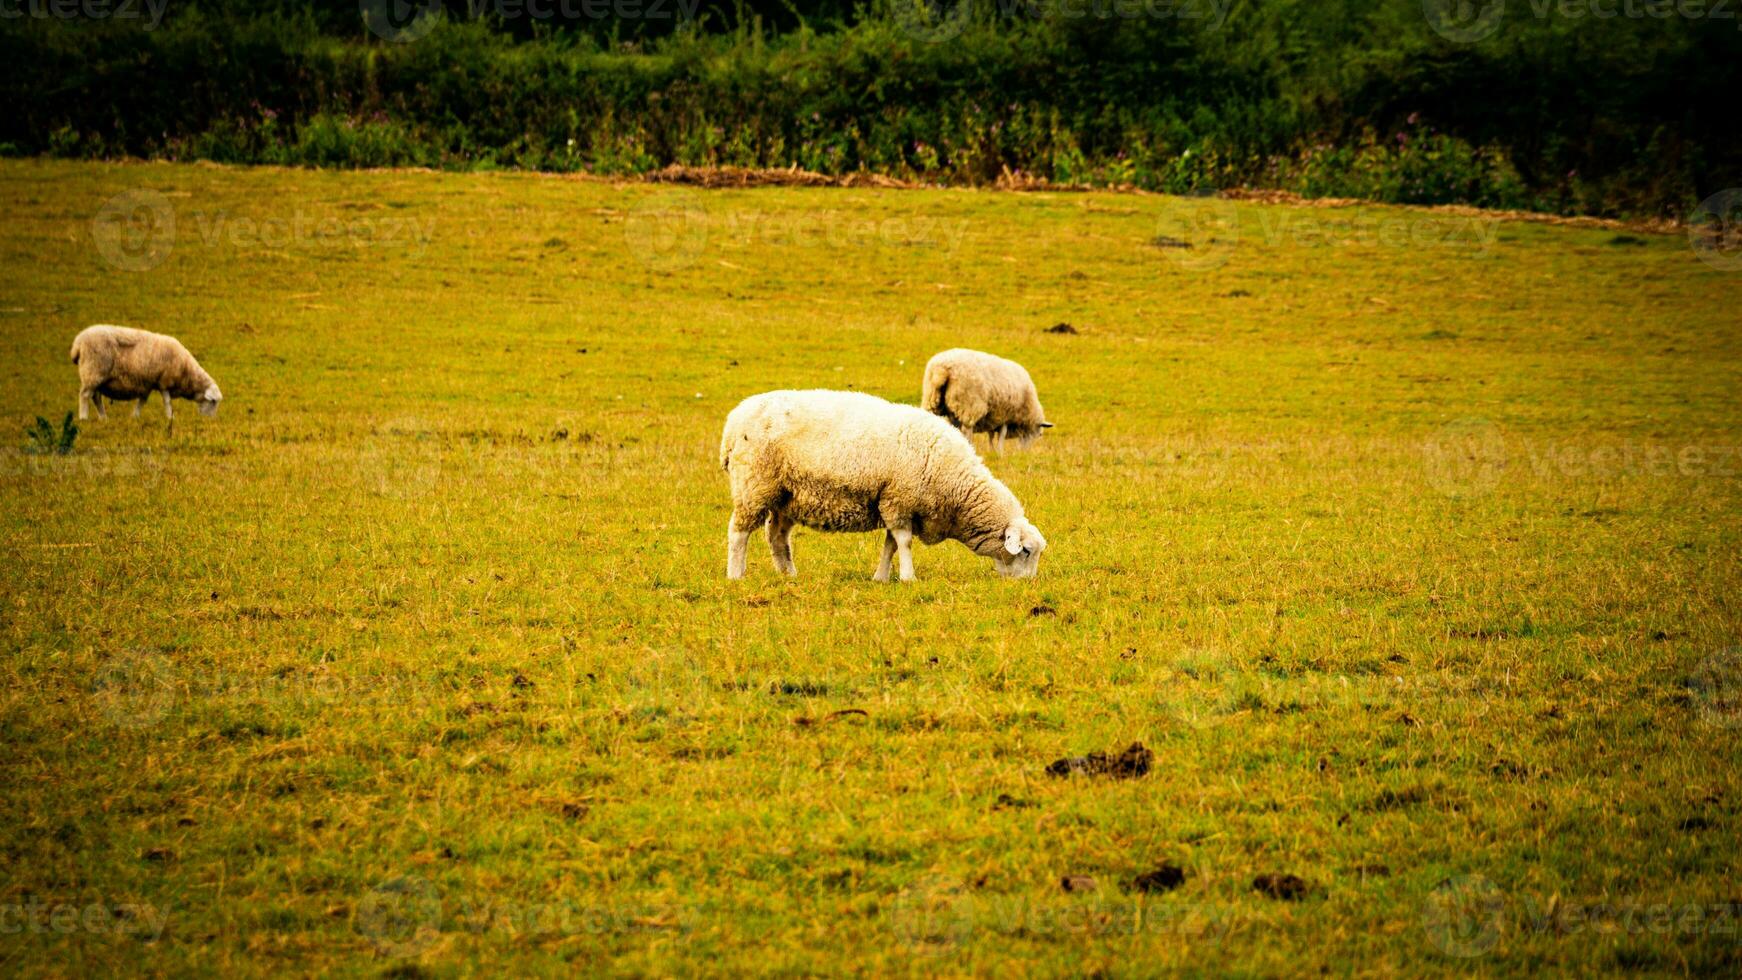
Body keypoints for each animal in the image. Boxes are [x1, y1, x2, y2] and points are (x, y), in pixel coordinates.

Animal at [70, 325, 221, 421]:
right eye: (213, 402)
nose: (211, 420)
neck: (187, 371)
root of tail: (78, 343)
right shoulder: (164, 382)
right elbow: (167, 402)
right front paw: (171, 417)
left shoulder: (148, 383)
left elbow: (142, 401)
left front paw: (135, 416)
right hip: (93, 371)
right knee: (84, 395)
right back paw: (83, 417)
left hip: (97, 377)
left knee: (96, 397)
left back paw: (103, 418)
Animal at [714, 389, 1038, 581]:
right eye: (1025, 551)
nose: (1028, 584)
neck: (955, 485)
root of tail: (733, 421)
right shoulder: (899, 500)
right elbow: (903, 543)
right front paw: (908, 578)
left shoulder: (896, 504)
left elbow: (890, 545)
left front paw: (881, 577)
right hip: (754, 485)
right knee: (738, 532)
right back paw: (735, 574)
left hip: (786, 495)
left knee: (777, 537)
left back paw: (788, 575)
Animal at [919, 348, 1052, 452]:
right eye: (1039, 434)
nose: (1024, 453)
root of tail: (941, 370)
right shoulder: (1005, 415)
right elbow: (1001, 436)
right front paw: (1000, 453)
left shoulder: (994, 417)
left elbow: (991, 436)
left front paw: (992, 451)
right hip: (969, 405)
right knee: (967, 430)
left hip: (933, 399)